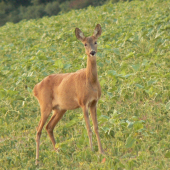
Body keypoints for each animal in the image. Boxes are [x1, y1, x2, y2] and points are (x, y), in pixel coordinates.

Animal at [33, 23, 103, 163]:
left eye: (96, 42)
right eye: (85, 44)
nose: (92, 52)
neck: (90, 81)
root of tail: (35, 88)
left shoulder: (94, 102)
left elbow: (96, 127)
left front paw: (102, 151)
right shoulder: (83, 102)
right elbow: (88, 128)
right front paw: (92, 151)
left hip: (60, 109)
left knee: (49, 127)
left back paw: (59, 152)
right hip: (45, 106)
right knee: (38, 130)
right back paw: (37, 161)